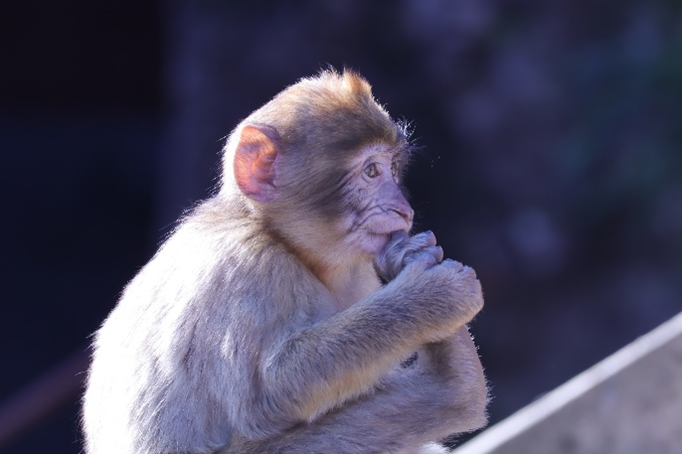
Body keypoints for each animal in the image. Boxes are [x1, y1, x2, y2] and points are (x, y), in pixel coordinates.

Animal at [81, 69, 487, 454]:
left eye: (392, 167)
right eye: (371, 171)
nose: (403, 209)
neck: (281, 240)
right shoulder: (249, 267)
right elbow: (267, 392)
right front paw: (431, 297)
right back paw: (453, 387)